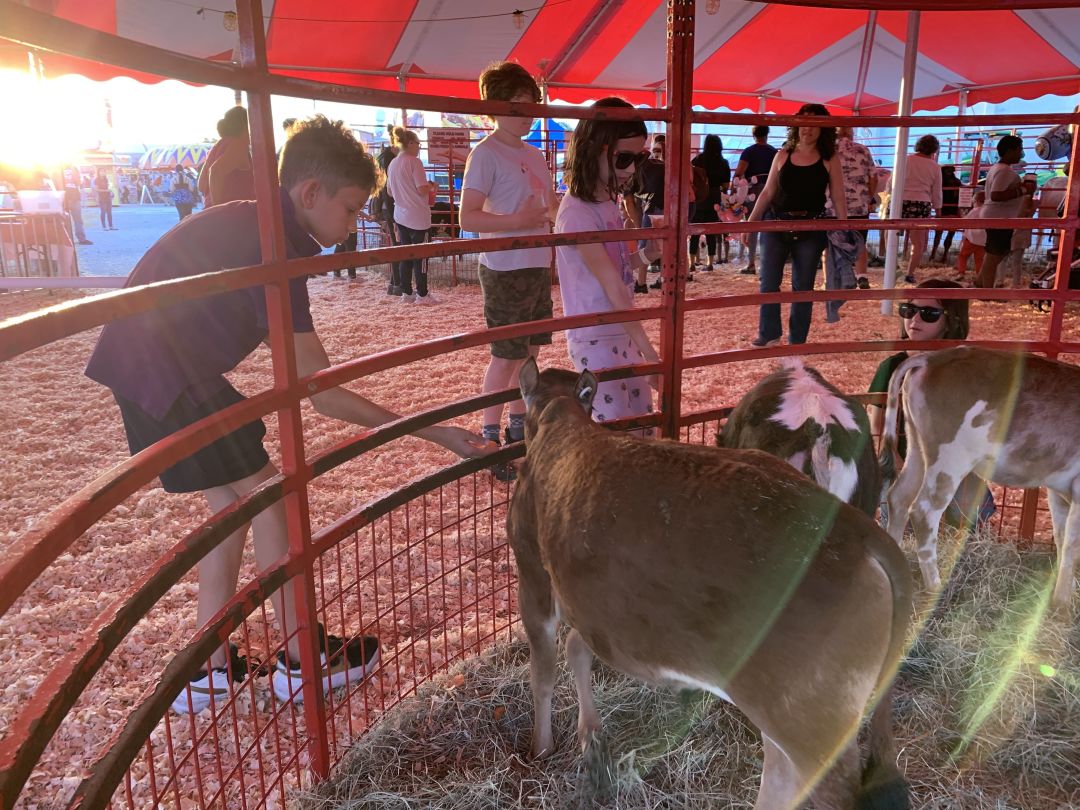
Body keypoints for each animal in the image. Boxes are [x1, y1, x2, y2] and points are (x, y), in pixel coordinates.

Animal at [881, 347, 1080, 609]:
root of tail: (932, 357)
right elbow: (1073, 545)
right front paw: (1063, 604)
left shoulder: (1059, 489)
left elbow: (1061, 537)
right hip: (949, 459)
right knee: (924, 511)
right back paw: (935, 587)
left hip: (916, 449)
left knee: (899, 498)